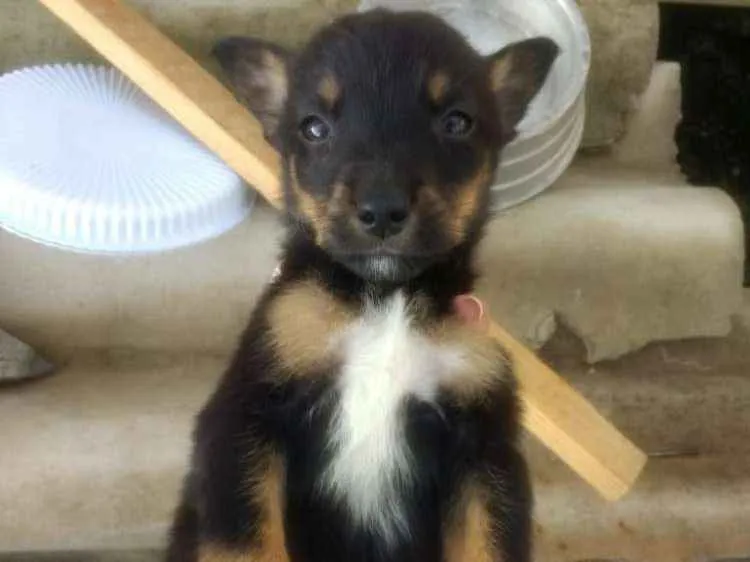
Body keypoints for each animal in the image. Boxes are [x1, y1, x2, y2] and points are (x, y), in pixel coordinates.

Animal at [166, 9, 558, 562]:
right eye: (314, 127)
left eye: (456, 122)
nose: (382, 211)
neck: (384, 300)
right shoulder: (245, 414)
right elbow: (247, 543)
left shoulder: (484, 449)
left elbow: (488, 543)